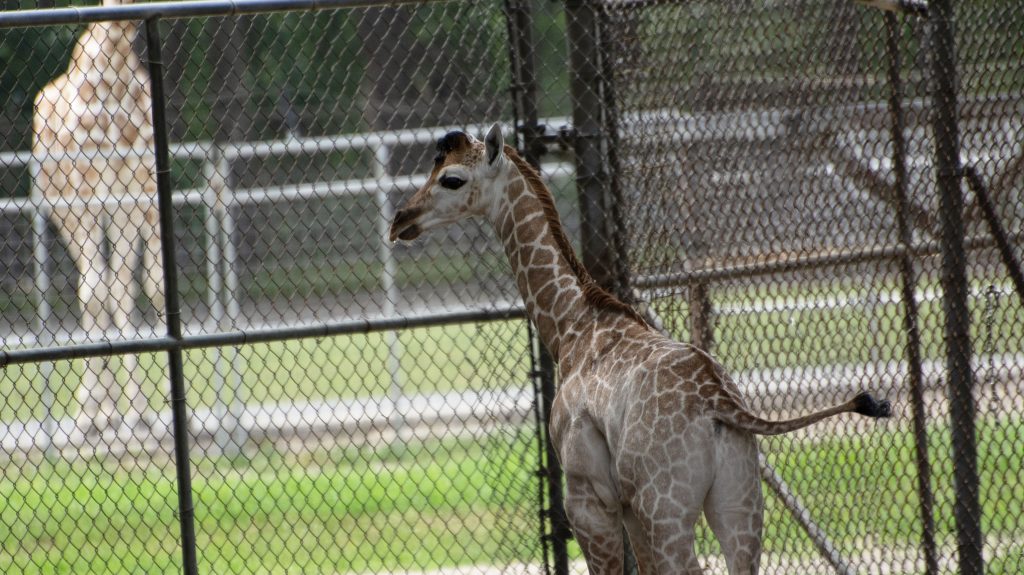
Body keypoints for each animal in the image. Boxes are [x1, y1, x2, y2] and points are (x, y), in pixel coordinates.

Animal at [33, 0, 164, 437]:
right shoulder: (87, 195)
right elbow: (95, 291)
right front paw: (96, 411)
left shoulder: (137, 196)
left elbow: (140, 286)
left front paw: (144, 412)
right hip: (65, 213)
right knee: (90, 285)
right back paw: (95, 413)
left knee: (112, 283)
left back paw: (112, 411)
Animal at [389, 124, 892, 574]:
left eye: (452, 178)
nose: (399, 221)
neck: (571, 326)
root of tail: (720, 404)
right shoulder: (630, 506)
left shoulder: (589, 499)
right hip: (740, 502)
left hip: (664, 508)